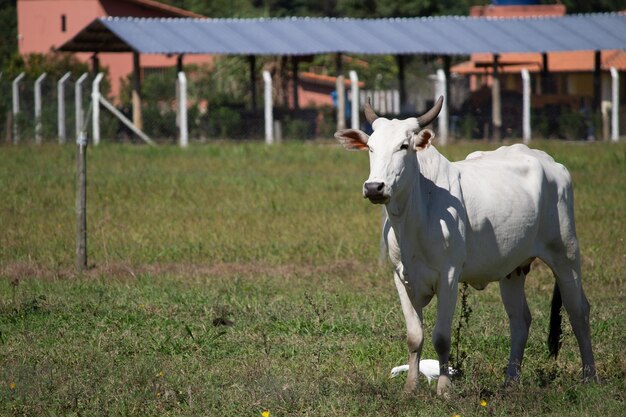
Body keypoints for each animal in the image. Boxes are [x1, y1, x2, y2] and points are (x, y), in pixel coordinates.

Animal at [336, 96, 596, 394]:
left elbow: (441, 337)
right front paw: (411, 388)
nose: (374, 187)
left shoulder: (448, 276)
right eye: (370, 147)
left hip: (565, 253)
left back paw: (589, 376)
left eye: (404, 146)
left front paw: (444, 389)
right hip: (513, 269)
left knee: (578, 311)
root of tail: (553, 164)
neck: (416, 214)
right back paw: (511, 380)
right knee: (520, 320)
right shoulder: (401, 278)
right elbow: (414, 336)